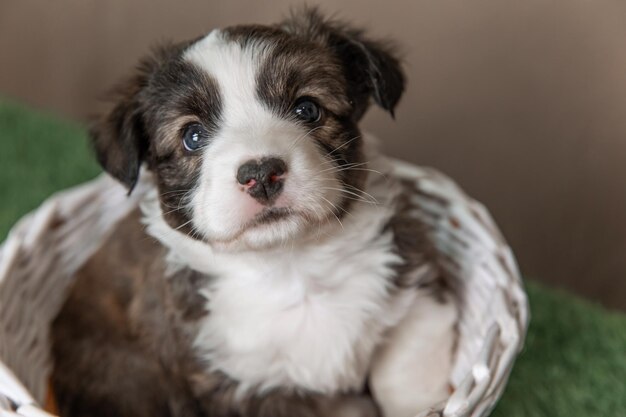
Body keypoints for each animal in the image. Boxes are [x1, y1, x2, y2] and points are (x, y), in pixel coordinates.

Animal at [50, 7, 454, 416]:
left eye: (308, 109)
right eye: (192, 137)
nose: (261, 174)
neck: (290, 265)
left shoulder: (413, 280)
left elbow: (406, 369)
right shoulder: (245, 387)